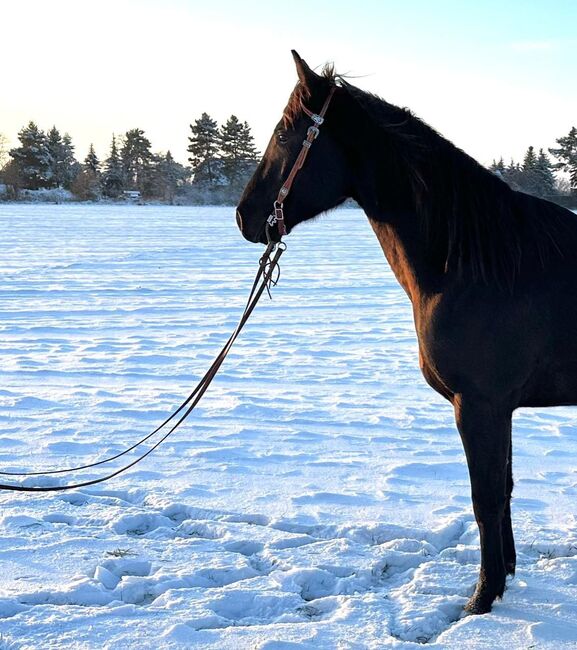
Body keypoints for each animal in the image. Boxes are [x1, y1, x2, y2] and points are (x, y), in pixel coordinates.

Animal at [234, 50, 576, 612]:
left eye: (285, 134)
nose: (245, 217)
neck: (473, 264)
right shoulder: (498, 407)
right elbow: (502, 489)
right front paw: (504, 576)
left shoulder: (479, 404)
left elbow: (485, 496)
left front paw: (481, 600)